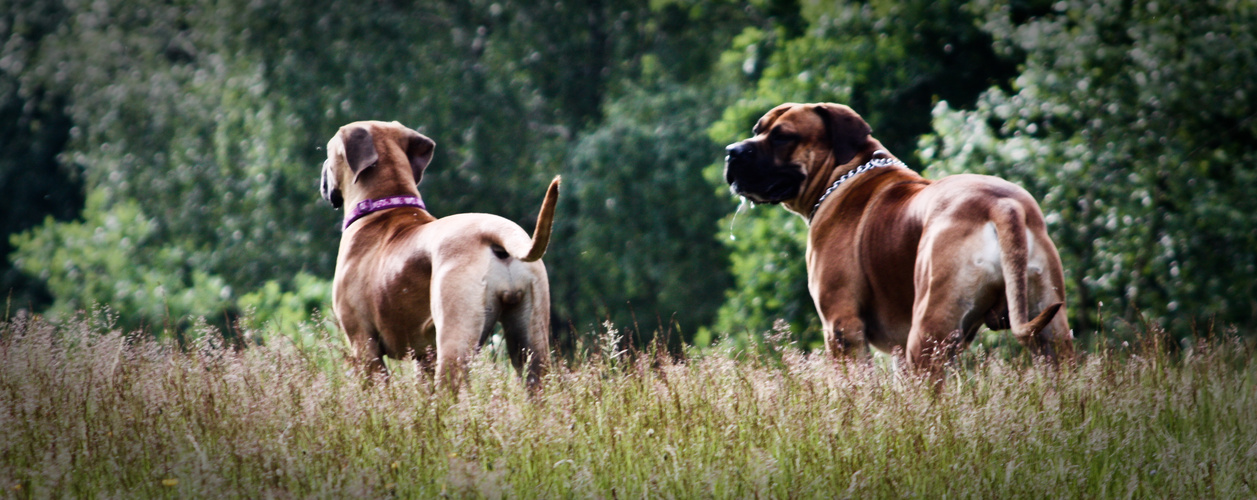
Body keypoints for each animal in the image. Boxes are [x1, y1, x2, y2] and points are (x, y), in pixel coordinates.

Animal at [321, 121, 558, 389]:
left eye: (328, 153)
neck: (385, 206)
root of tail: (493, 232)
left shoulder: (364, 345)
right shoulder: (423, 356)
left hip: (454, 342)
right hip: (531, 343)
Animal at [724, 103, 1075, 381]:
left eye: (783, 136)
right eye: (757, 130)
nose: (732, 151)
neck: (846, 172)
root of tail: (1001, 204)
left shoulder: (842, 327)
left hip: (928, 334)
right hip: (1050, 330)